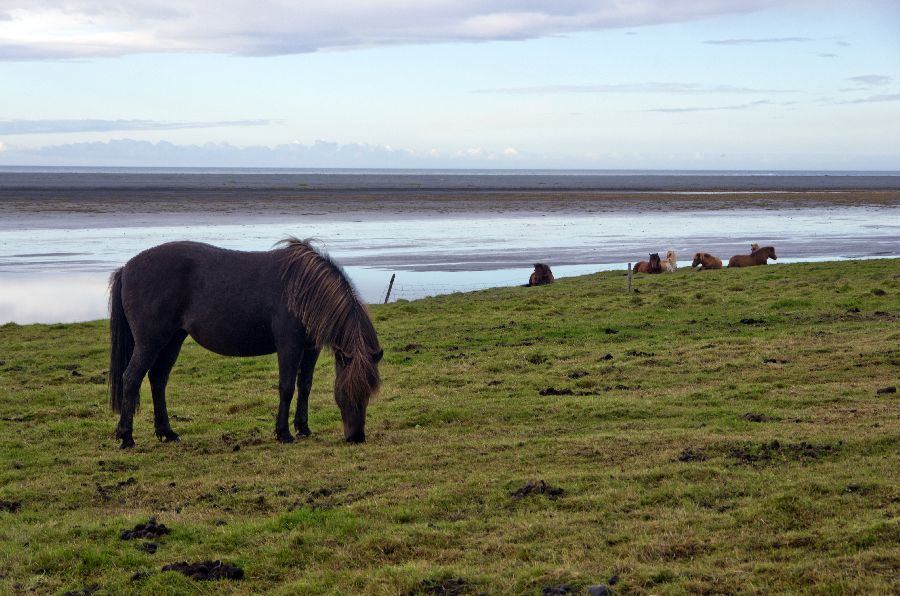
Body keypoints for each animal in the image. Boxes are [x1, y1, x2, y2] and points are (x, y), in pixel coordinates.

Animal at [110, 237, 384, 448]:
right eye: (345, 391)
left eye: (369, 392)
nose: (356, 437)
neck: (303, 289)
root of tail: (127, 267)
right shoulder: (289, 345)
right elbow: (287, 387)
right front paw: (283, 433)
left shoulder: (310, 348)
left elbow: (305, 385)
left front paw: (303, 428)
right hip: (150, 342)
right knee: (132, 379)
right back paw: (127, 437)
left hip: (172, 340)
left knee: (158, 380)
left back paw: (167, 432)